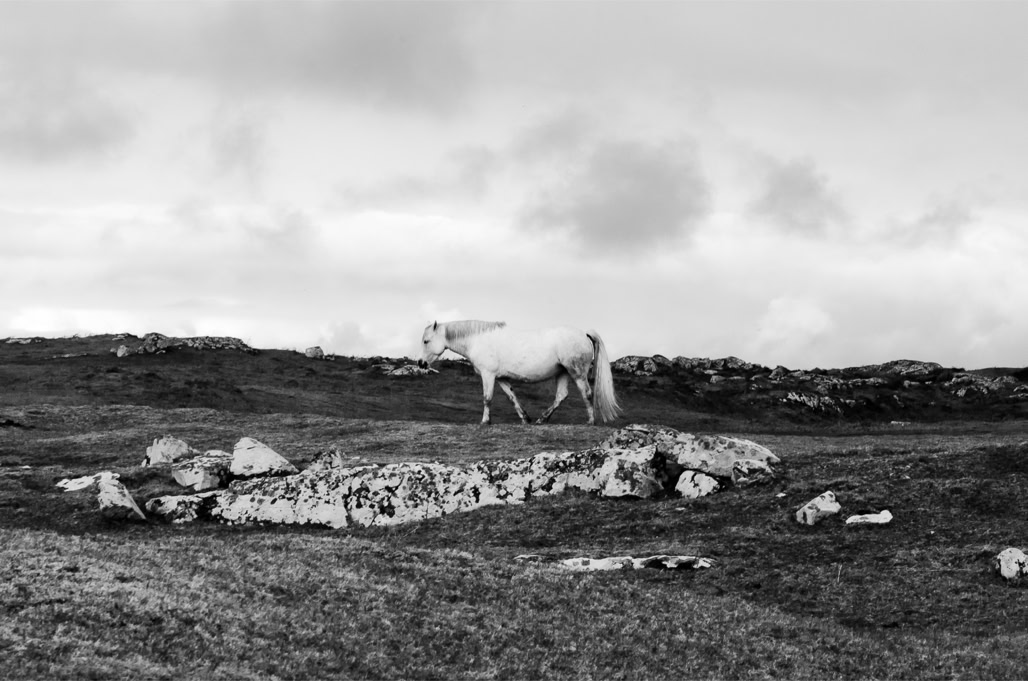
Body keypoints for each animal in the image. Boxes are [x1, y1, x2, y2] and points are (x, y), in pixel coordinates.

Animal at [419, 320, 621, 426]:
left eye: (426, 341)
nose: (420, 363)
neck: (478, 340)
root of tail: (584, 333)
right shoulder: (501, 378)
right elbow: (512, 398)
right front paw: (525, 418)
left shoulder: (488, 375)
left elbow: (487, 398)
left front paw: (485, 421)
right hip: (563, 373)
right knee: (561, 396)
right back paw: (541, 419)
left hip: (576, 373)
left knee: (586, 393)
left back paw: (590, 421)